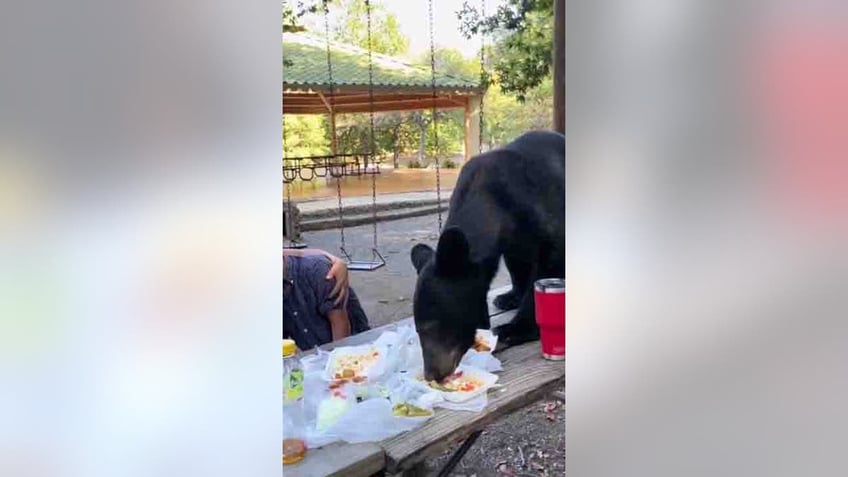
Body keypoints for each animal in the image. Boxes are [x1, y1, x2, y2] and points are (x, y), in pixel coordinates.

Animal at [410, 129, 564, 380]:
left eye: (432, 326)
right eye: (417, 328)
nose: (432, 374)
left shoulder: (544, 211)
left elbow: (549, 264)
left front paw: (513, 329)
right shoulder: (513, 239)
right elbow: (517, 263)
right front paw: (511, 296)